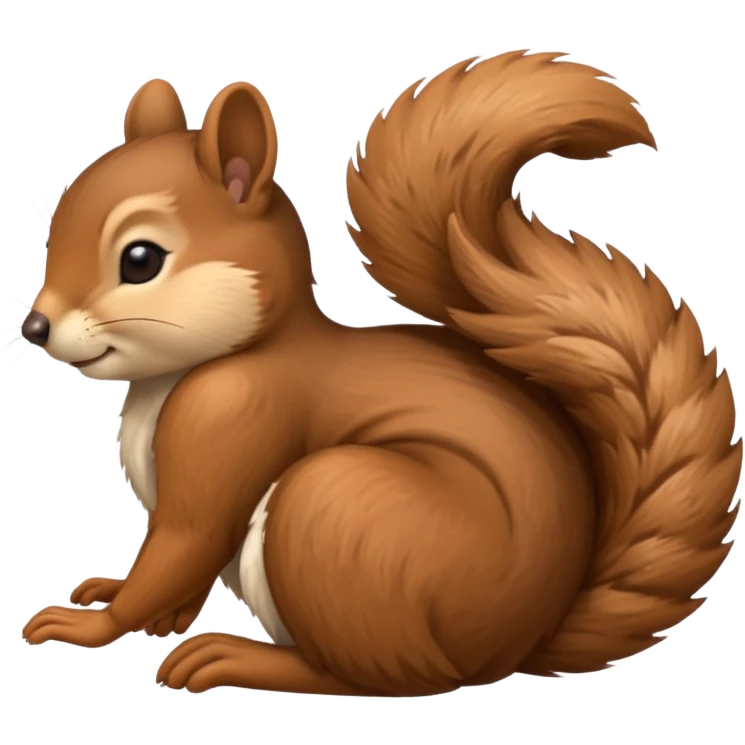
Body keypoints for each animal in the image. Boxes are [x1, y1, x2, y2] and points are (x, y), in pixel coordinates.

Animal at [20, 51, 742, 697]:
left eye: (140, 259)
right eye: (52, 237)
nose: (34, 328)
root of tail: (515, 644)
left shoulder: (233, 411)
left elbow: (185, 537)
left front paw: (94, 624)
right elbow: (182, 564)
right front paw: (131, 600)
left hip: (338, 512)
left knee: (377, 678)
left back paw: (242, 659)